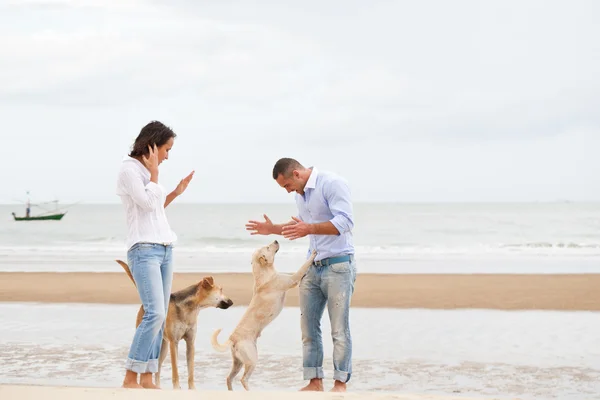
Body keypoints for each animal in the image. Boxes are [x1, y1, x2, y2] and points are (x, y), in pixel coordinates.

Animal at [116, 258, 233, 390]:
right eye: (221, 290)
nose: (232, 302)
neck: (191, 308)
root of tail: (145, 305)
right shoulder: (174, 342)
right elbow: (175, 370)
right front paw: (177, 388)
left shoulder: (190, 343)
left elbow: (191, 371)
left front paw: (192, 388)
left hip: (163, 348)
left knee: (157, 369)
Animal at [210, 241, 316, 390]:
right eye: (267, 247)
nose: (276, 240)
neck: (264, 273)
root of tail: (233, 338)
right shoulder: (293, 279)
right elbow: (303, 266)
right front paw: (313, 254)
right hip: (252, 359)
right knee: (243, 379)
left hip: (238, 362)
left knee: (229, 378)